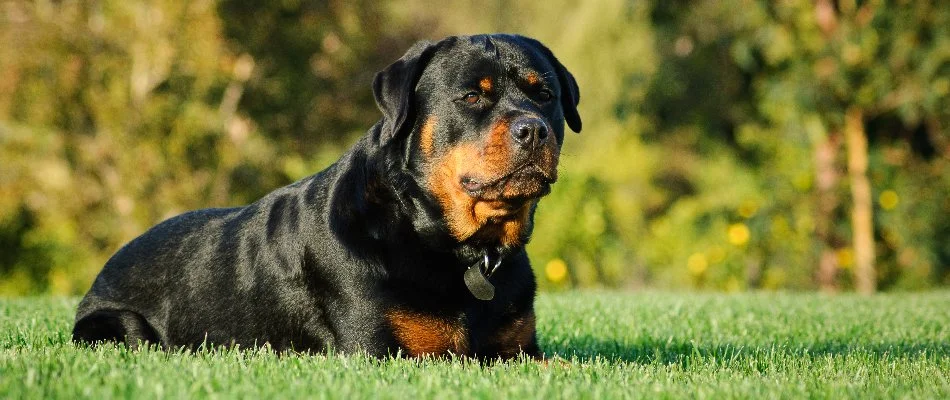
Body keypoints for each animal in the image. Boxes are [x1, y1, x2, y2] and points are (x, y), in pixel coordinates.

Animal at [74, 34, 580, 360]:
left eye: (545, 94)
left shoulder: (520, 351)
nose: (532, 129)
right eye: (473, 96)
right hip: (120, 325)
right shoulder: (385, 352)